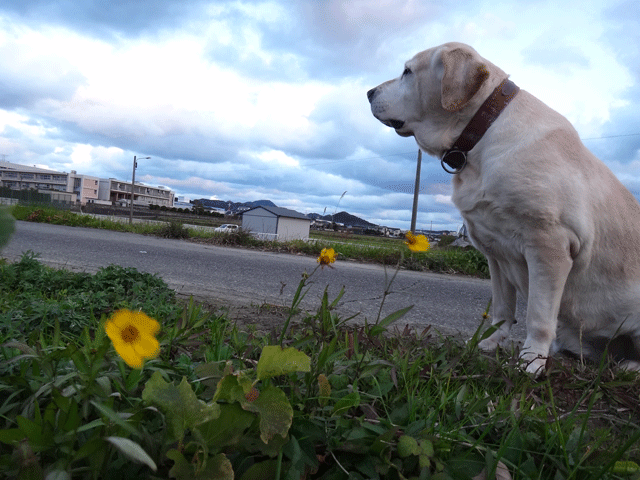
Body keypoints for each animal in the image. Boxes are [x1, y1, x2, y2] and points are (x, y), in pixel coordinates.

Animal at [368, 42, 640, 376]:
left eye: (407, 71)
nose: (368, 92)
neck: (482, 135)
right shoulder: (496, 254)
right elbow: (501, 309)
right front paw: (489, 343)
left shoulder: (549, 247)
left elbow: (537, 315)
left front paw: (532, 360)